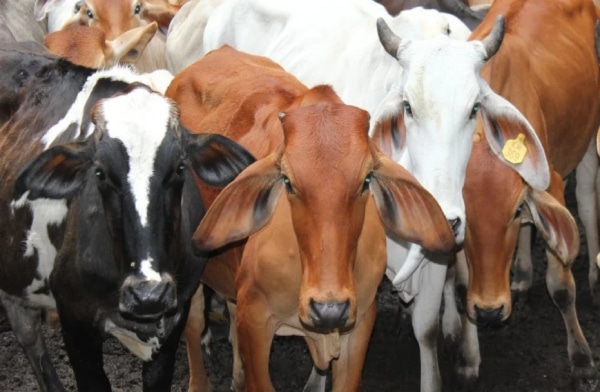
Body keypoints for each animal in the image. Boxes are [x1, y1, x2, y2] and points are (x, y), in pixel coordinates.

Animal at [164, 46, 454, 392]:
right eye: (288, 181)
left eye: (366, 180)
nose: (329, 309)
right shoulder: (255, 320)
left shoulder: (360, 324)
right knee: (194, 327)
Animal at [452, 0, 600, 382]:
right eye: (463, 217)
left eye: (515, 209)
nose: (490, 311)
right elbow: (461, 288)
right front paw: (468, 359)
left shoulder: (553, 184)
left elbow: (561, 287)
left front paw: (581, 357)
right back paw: (520, 274)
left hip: (588, 137)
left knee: (588, 204)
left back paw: (595, 279)